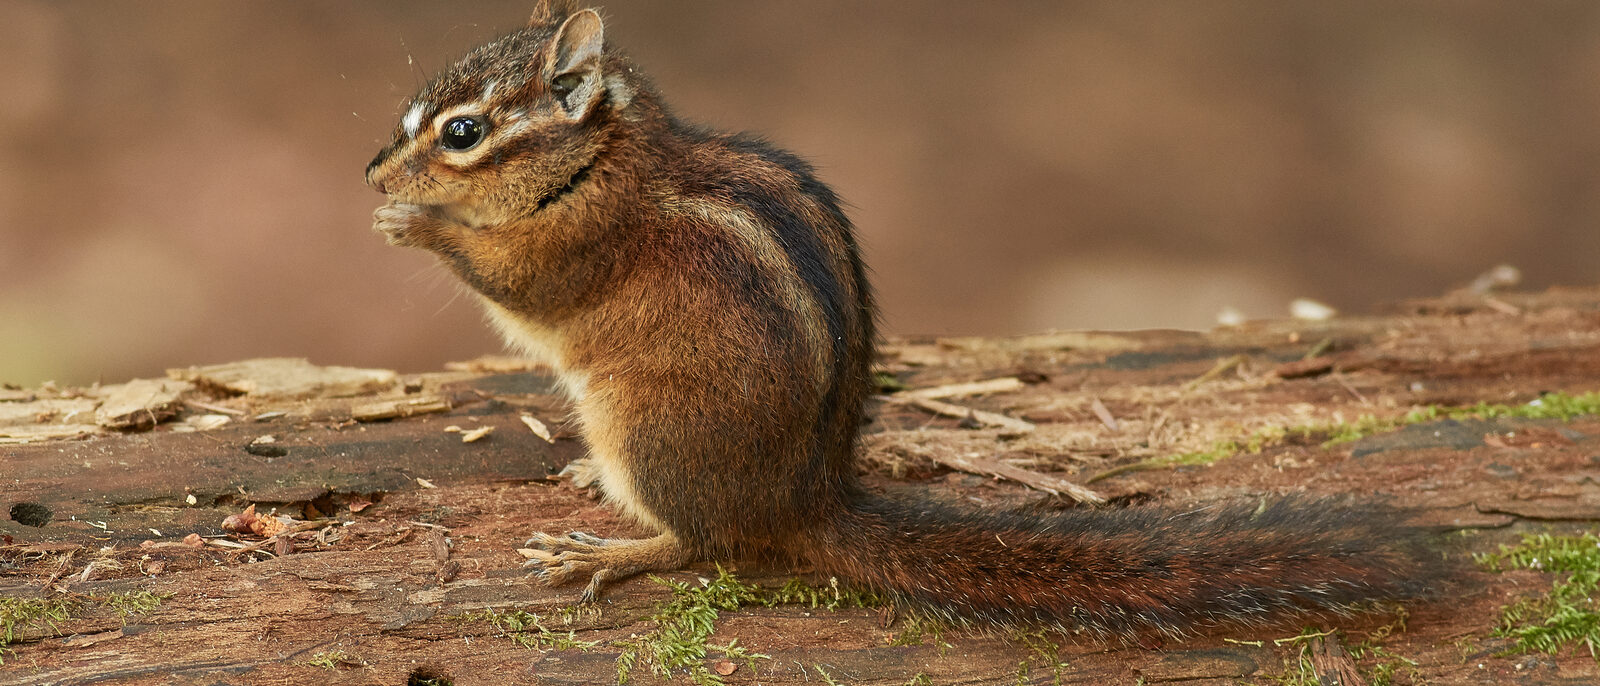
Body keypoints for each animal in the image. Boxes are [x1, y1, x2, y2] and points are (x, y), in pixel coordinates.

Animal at [365, 1, 1441, 637]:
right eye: (414, 115)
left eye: (463, 132)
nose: (373, 173)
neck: (605, 160)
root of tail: (803, 501)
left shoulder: (575, 245)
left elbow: (517, 285)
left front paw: (416, 226)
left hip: (649, 424)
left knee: (704, 544)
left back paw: (612, 550)